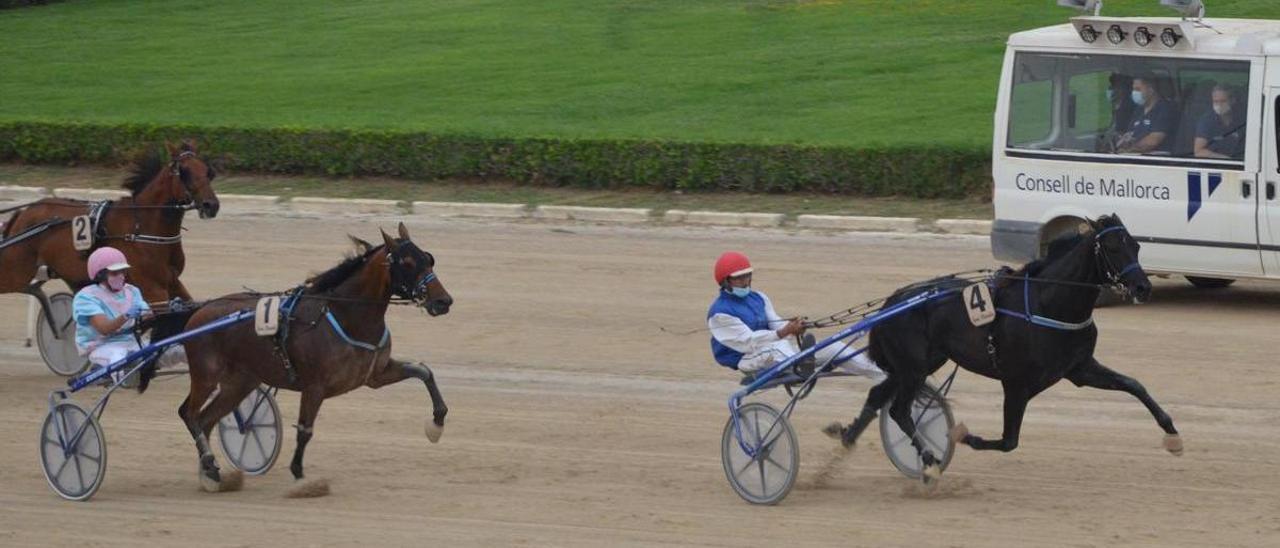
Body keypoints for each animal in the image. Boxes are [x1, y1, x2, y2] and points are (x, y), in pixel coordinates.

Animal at [0, 140, 220, 308]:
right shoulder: (153, 288)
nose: (211, 205)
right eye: (184, 171)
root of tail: (23, 213)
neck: (142, 227)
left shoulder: (173, 281)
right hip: (15, 272)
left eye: (208, 171)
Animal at [174, 222, 455, 491]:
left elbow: (423, 371)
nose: (444, 301)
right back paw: (209, 465)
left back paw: (211, 474)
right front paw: (301, 477)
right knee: (190, 414)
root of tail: (199, 312)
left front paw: (436, 424)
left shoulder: (375, 375)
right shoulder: (314, 386)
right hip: (206, 375)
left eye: (428, 258)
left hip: (240, 383)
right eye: (407, 263)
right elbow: (305, 431)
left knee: (206, 420)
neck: (347, 316)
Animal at [834, 216, 1182, 481]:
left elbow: (1134, 385)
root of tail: (893, 301)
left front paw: (1172, 435)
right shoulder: (1016, 382)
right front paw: (962, 435)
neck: (1050, 304)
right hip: (913, 368)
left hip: (916, 365)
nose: (1143, 287)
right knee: (899, 410)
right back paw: (930, 463)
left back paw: (843, 444)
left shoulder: (1079, 368)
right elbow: (1008, 441)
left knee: (878, 396)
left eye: (1136, 245)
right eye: (1111, 247)